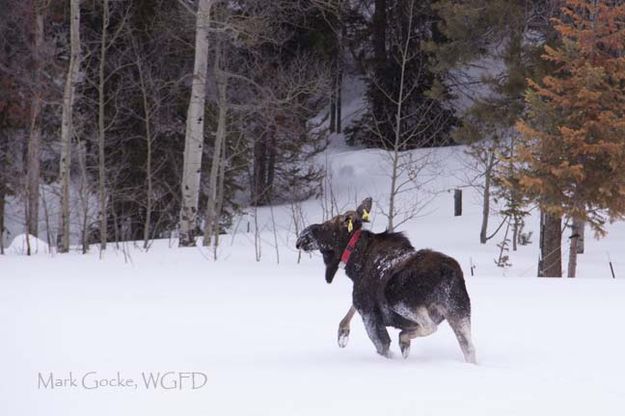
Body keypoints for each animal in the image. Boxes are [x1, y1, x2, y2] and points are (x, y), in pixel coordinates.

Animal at [294, 198, 476, 364]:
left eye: (327, 225)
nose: (302, 237)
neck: (354, 265)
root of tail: (447, 272)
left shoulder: (368, 314)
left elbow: (383, 347)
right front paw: (343, 332)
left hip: (400, 299)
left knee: (429, 326)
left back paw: (404, 340)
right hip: (459, 311)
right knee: (470, 350)